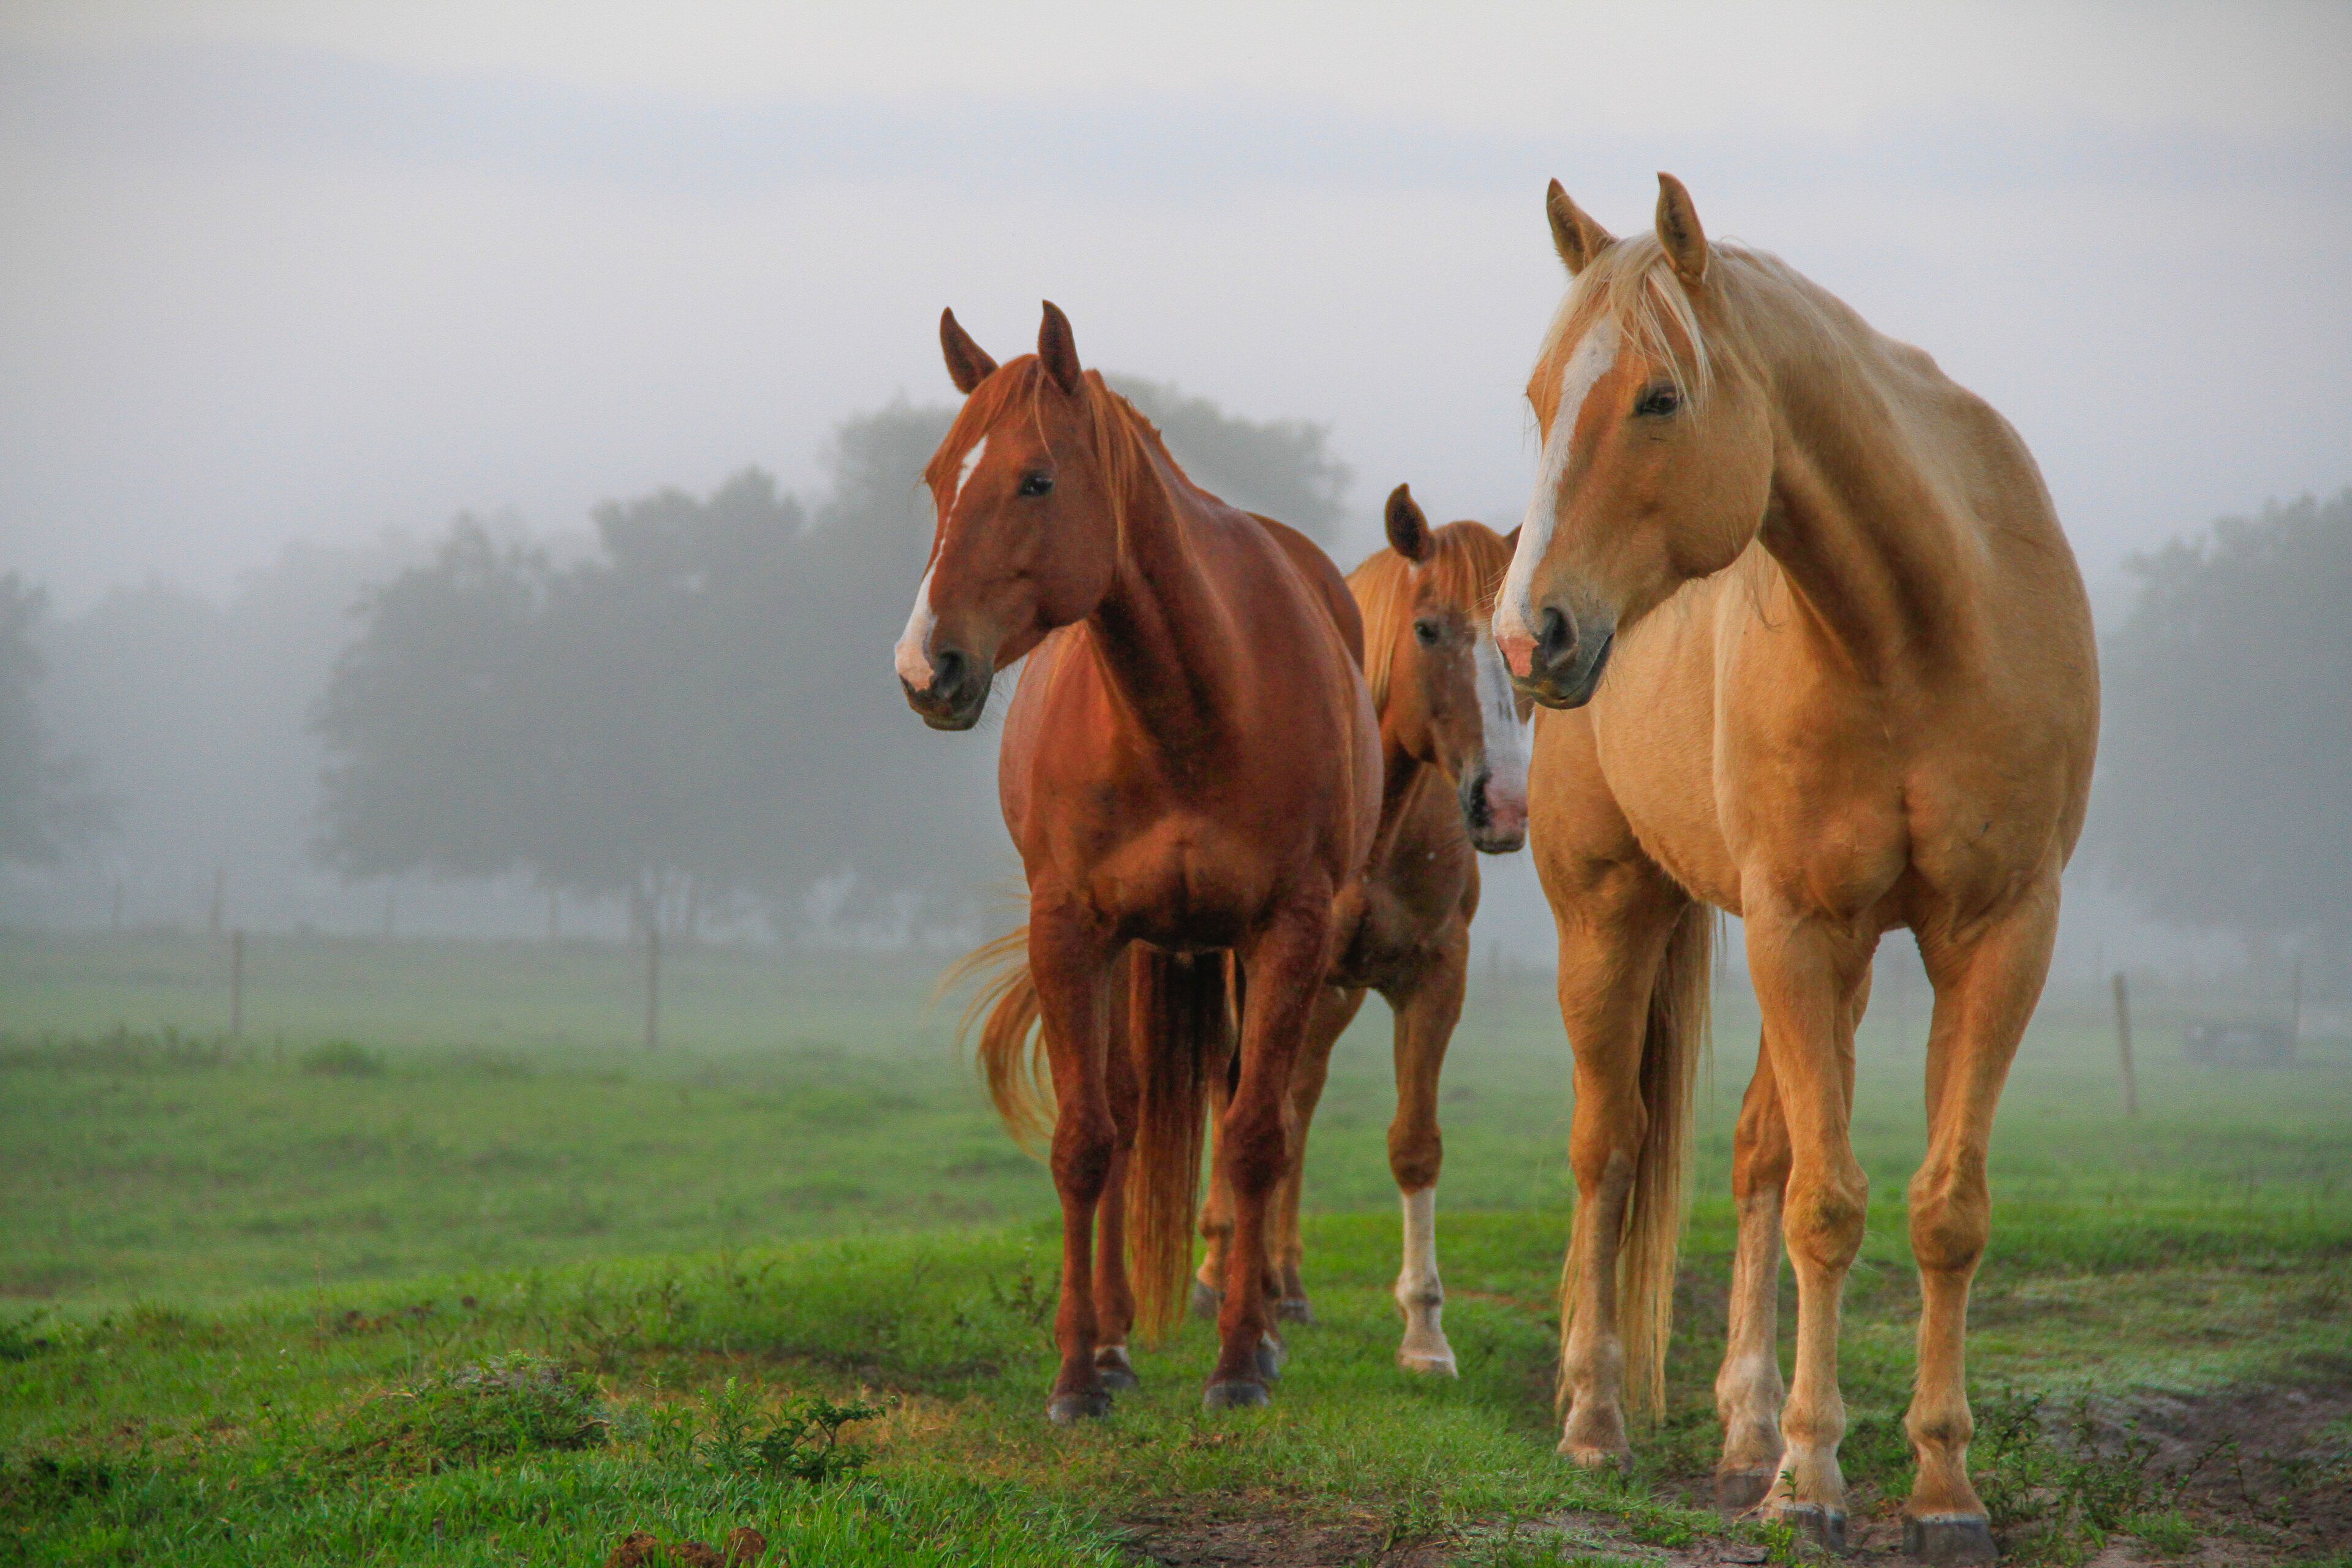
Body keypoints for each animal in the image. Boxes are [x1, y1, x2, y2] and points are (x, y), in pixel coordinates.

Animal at [897, 301, 1382, 1420]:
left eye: (1036, 480)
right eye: (939, 479)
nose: (925, 668)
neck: (1193, 710)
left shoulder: (1290, 931)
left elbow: (1253, 1137)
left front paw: (1242, 1359)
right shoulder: (1071, 927)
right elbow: (1086, 1141)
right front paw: (1081, 1371)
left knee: (1249, 1103)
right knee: (1120, 1112)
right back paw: (1117, 1337)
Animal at [1191, 486, 1528, 1377]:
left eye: (1518, 647)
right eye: (1428, 628)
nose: (1504, 806)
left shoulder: (1436, 972)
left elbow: (1414, 1143)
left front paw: (1425, 1333)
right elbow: (1250, 1113)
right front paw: (1245, 1307)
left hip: (1330, 994)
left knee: (1299, 1099)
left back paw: (1285, 1282)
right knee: (1230, 1093)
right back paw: (1218, 1271)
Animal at [1494, 176, 2097, 1563]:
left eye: (1661, 397)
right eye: (1542, 397)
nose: (1528, 633)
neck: (1920, 628)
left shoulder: (1997, 932)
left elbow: (1941, 1208)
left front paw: (1940, 1488)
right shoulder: (1796, 925)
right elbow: (1831, 1205)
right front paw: (1814, 1484)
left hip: (1839, 961)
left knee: (1756, 1154)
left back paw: (1746, 1425)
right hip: (1613, 915)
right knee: (1610, 1148)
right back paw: (1596, 1417)